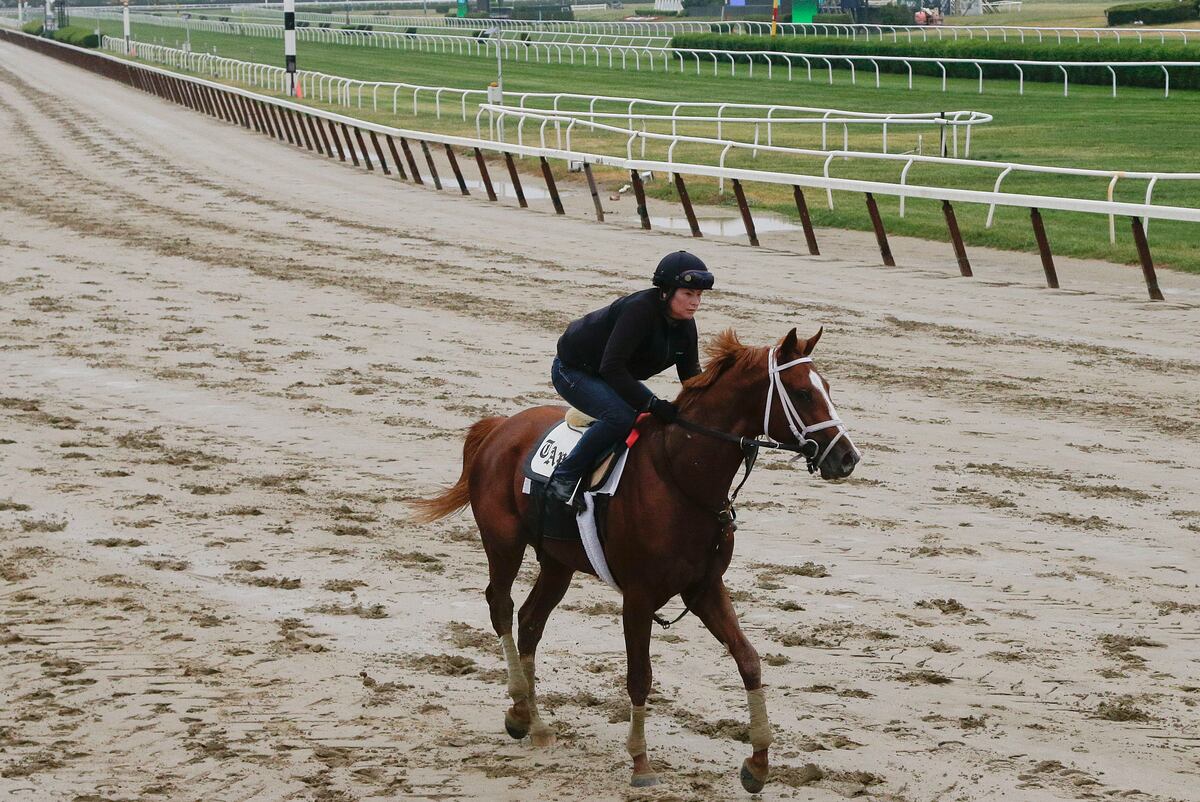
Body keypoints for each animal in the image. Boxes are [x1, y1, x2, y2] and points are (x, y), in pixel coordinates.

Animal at [413, 327, 860, 792]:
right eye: (802, 393)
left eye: (827, 388)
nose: (847, 457)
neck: (682, 477)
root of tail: (500, 427)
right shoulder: (639, 597)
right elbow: (640, 677)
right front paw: (641, 762)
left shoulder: (704, 588)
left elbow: (749, 660)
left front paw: (757, 764)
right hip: (503, 543)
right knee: (501, 607)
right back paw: (520, 704)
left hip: (557, 562)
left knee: (531, 620)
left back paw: (530, 721)